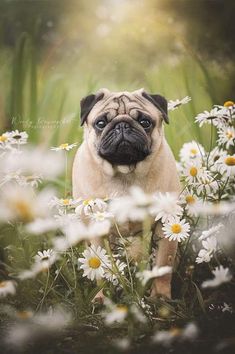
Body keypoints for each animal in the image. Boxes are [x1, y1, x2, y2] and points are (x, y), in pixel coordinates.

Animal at [72, 88, 181, 298]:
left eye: (145, 122)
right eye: (101, 123)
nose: (122, 125)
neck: (125, 172)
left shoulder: (166, 224)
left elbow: (163, 264)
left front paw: (160, 297)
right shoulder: (97, 229)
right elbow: (100, 267)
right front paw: (102, 296)